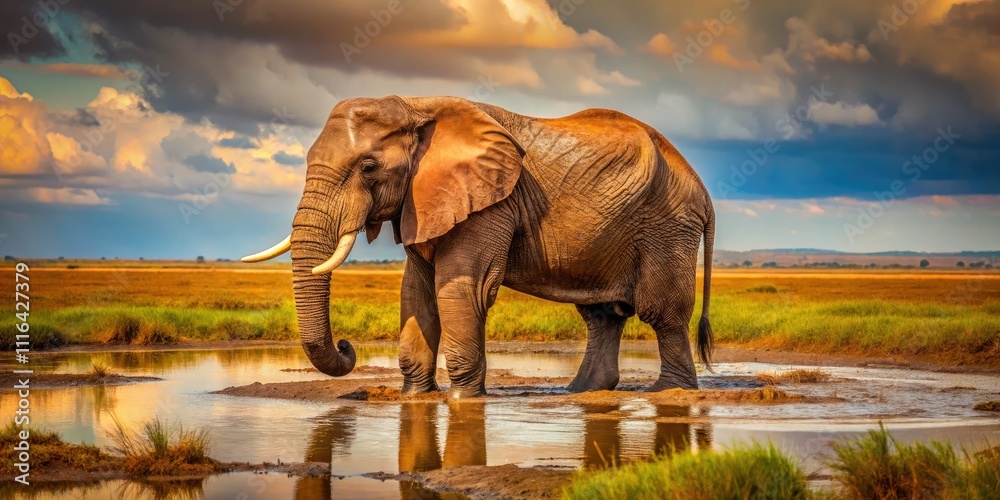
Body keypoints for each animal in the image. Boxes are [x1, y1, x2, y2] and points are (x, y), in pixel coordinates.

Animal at [242, 96, 716, 398]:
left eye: (368, 167)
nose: (346, 346)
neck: (416, 105)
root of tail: (703, 190)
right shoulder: (424, 201)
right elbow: (417, 292)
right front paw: (415, 397)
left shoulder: (491, 202)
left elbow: (461, 289)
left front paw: (462, 401)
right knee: (603, 315)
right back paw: (581, 391)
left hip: (667, 226)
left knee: (663, 312)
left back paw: (667, 391)